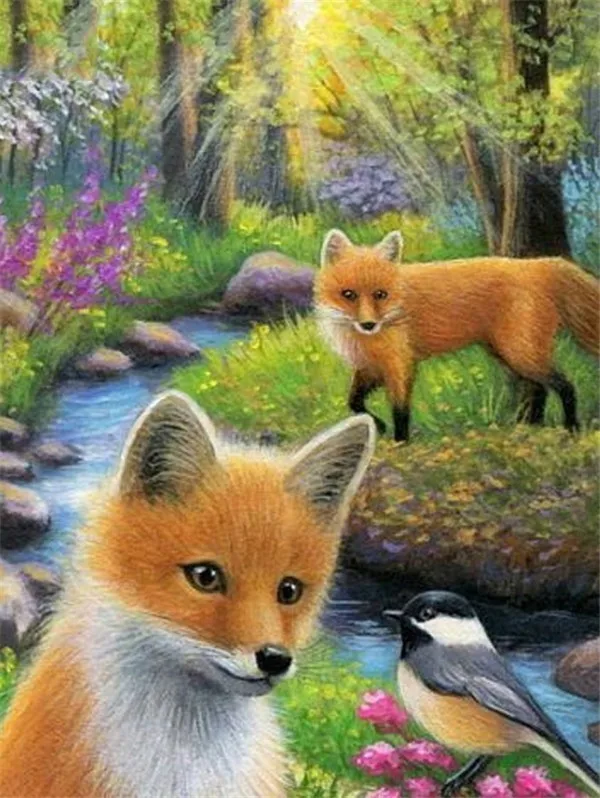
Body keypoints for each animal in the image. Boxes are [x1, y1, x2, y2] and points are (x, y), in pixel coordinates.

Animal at [315, 229, 599, 442]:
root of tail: (540, 263)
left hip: (520, 353)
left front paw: (401, 442)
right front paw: (378, 426)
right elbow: (354, 401)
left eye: (380, 294)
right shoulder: (370, 366)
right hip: (508, 353)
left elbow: (400, 410)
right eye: (348, 294)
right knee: (538, 389)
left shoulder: (399, 363)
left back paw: (571, 428)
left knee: (564, 386)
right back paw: (529, 427)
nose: (369, 324)